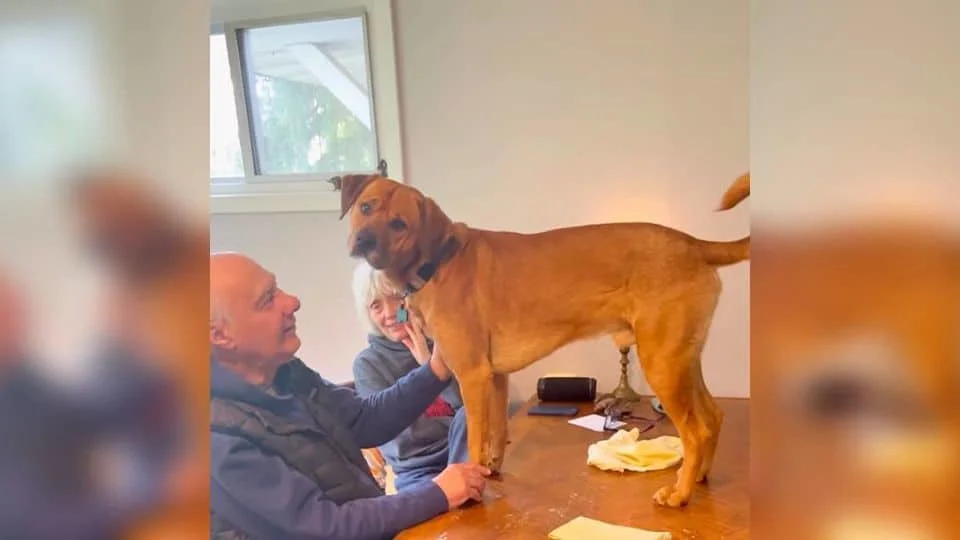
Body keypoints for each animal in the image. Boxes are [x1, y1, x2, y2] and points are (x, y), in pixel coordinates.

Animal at [332, 172, 749, 508]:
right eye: (365, 207)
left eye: (399, 223)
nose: (364, 241)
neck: (439, 260)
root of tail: (693, 243)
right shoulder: (494, 377)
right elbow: (496, 433)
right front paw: (490, 470)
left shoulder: (472, 375)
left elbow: (476, 439)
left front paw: (469, 486)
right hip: (682, 359)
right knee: (713, 416)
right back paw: (697, 476)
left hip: (662, 363)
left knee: (695, 430)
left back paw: (680, 494)